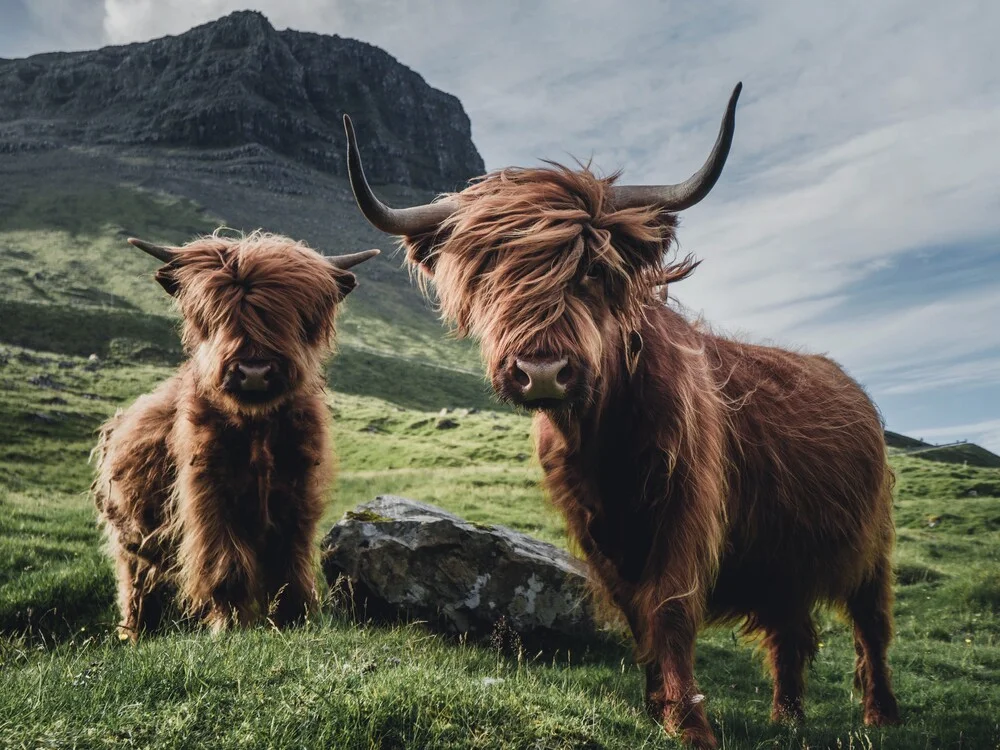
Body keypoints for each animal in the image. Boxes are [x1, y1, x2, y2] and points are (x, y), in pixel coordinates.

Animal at [93, 234, 378, 640]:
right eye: (213, 314)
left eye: (294, 315)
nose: (254, 371)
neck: (257, 429)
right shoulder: (209, 494)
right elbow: (225, 565)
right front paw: (228, 626)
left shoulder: (297, 492)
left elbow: (288, 562)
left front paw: (292, 618)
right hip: (131, 542)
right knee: (137, 591)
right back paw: (134, 635)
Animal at [344, 83, 900, 750]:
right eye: (487, 275)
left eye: (590, 269)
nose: (543, 371)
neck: (603, 440)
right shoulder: (595, 527)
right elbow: (639, 614)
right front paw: (656, 707)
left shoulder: (686, 508)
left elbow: (669, 608)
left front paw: (690, 723)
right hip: (783, 550)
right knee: (790, 630)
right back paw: (786, 716)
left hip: (872, 542)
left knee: (872, 624)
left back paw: (880, 714)